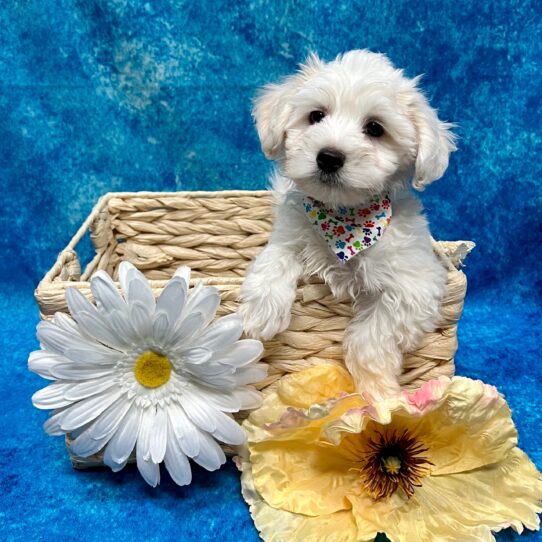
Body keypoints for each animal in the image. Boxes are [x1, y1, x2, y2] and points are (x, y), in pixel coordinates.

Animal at [240, 51, 456, 400]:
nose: (329, 157)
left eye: (375, 128)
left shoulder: (416, 286)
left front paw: (378, 390)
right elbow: (273, 261)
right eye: (316, 116)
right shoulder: (288, 236)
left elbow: (371, 336)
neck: (343, 221)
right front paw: (262, 313)